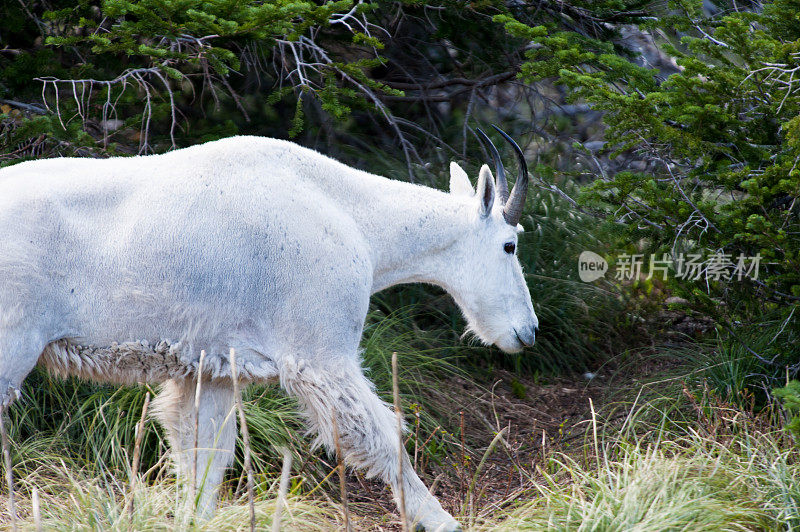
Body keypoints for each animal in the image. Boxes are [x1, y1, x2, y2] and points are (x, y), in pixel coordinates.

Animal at [0, 128, 540, 528]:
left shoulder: (211, 369)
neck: (356, 220)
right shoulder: (322, 357)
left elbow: (206, 461)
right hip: (11, 347)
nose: (528, 332)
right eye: (510, 245)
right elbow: (386, 442)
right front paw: (443, 520)